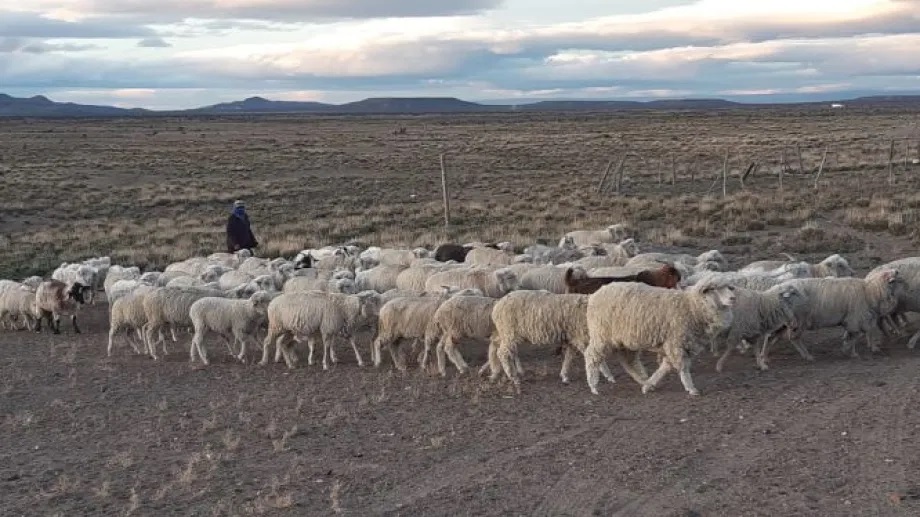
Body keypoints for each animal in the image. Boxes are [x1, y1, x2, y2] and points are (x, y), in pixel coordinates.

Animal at [486, 288, 620, 384]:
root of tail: (497, 306)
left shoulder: (572, 338)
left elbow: (569, 357)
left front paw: (564, 375)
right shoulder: (580, 337)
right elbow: (596, 358)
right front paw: (609, 375)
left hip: (504, 332)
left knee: (496, 346)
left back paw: (497, 371)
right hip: (510, 332)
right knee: (503, 353)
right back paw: (513, 376)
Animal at [584, 278, 736, 396]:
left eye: (729, 287)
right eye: (713, 288)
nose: (732, 298)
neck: (692, 306)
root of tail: (595, 295)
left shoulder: (677, 343)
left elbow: (666, 366)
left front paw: (650, 385)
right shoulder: (676, 342)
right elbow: (682, 367)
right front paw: (691, 388)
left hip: (623, 339)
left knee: (628, 360)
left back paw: (643, 380)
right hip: (602, 334)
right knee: (592, 355)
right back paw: (593, 385)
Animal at [756, 268, 904, 368]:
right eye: (892, 277)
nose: (897, 270)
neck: (870, 292)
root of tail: (774, 290)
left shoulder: (854, 320)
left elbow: (856, 335)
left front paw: (851, 349)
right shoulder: (855, 319)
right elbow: (855, 336)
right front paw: (849, 351)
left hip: (783, 322)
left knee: (771, 337)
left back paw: (764, 357)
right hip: (799, 320)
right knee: (793, 338)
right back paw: (807, 356)